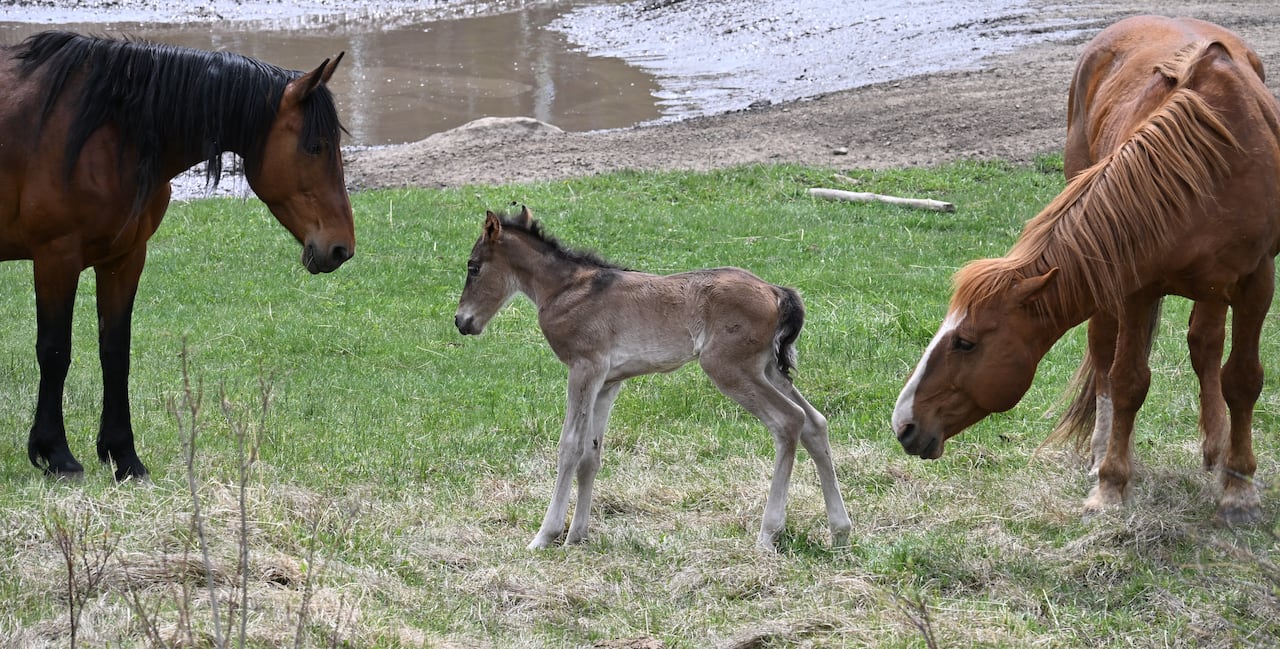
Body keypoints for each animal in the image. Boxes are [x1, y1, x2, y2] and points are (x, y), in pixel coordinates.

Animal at [1, 32, 356, 480]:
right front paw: (56, 454)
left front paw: (124, 455)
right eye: (314, 146)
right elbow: (54, 351)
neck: (106, 132)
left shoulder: (123, 259)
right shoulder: (56, 258)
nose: (341, 248)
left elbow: (115, 352)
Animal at [454, 206, 852, 550]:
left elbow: (569, 447)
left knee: (789, 421)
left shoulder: (584, 367)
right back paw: (840, 531)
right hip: (766, 368)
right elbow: (591, 455)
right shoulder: (608, 382)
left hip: (728, 368)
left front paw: (545, 536)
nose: (462, 321)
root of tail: (776, 291)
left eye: (473, 267)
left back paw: (768, 534)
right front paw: (576, 537)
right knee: (815, 423)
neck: (567, 289)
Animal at [891, 16, 1280, 524]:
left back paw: (1215, 449)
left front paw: (1239, 488)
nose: (903, 424)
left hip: (1213, 287)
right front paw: (1110, 485)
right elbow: (1127, 379)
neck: (1213, 163)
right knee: (1104, 353)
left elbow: (1243, 379)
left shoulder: (1257, 282)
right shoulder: (1135, 286)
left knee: (1205, 347)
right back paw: (1101, 453)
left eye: (965, 342)